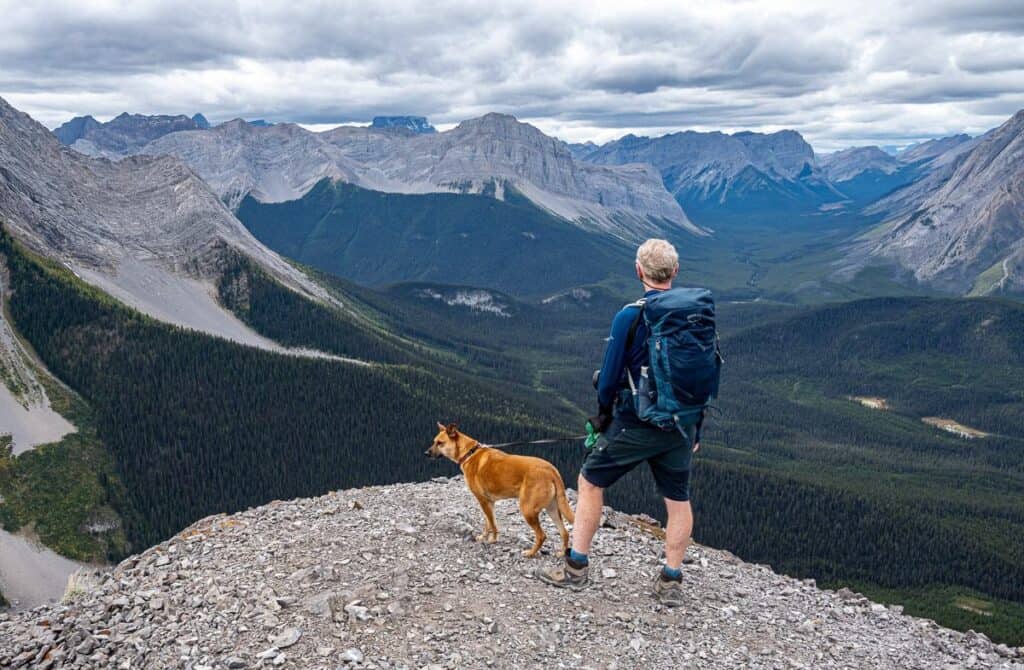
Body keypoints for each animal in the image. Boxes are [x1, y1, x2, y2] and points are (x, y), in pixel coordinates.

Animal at [425, 422, 577, 557]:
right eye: (434, 441)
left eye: (440, 443)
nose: (426, 453)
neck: (469, 453)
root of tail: (551, 470)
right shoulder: (489, 502)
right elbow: (488, 522)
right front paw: (483, 537)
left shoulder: (483, 501)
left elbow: (492, 524)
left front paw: (493, 540)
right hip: (552, 508)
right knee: (564, 533)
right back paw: (561, 553)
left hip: (528, 509)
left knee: (542, 535)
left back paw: (530, 553)